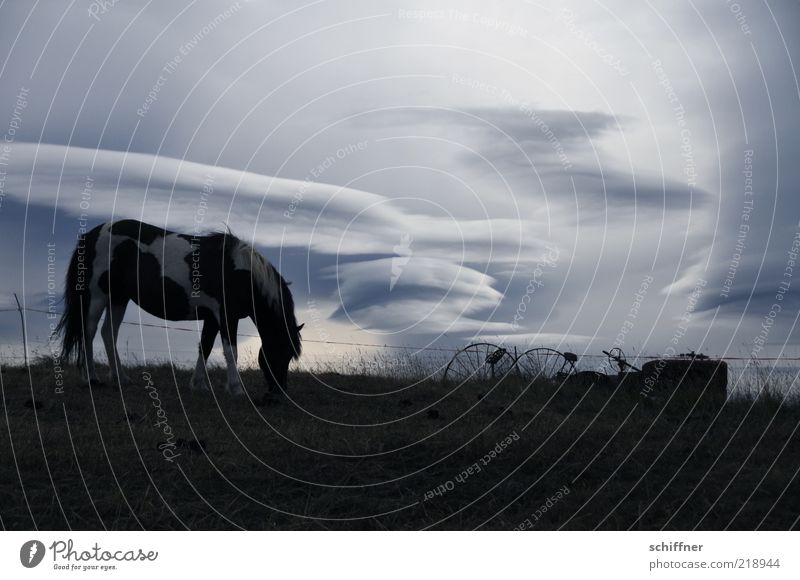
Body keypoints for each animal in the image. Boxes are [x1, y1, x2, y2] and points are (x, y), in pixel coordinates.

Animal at [54, 220, 304, 396]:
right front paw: (236, 388)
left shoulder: (212, 318)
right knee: (89, 331)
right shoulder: (226, 316)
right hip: (98, 296)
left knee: (109, 332)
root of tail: (91, 235)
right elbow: (230, 351)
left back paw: (121, 378)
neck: (239, 272)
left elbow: (205, 347)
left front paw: (198, 384)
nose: (279, 393)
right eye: (281, 350)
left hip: (118, 298)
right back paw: (91, 378)